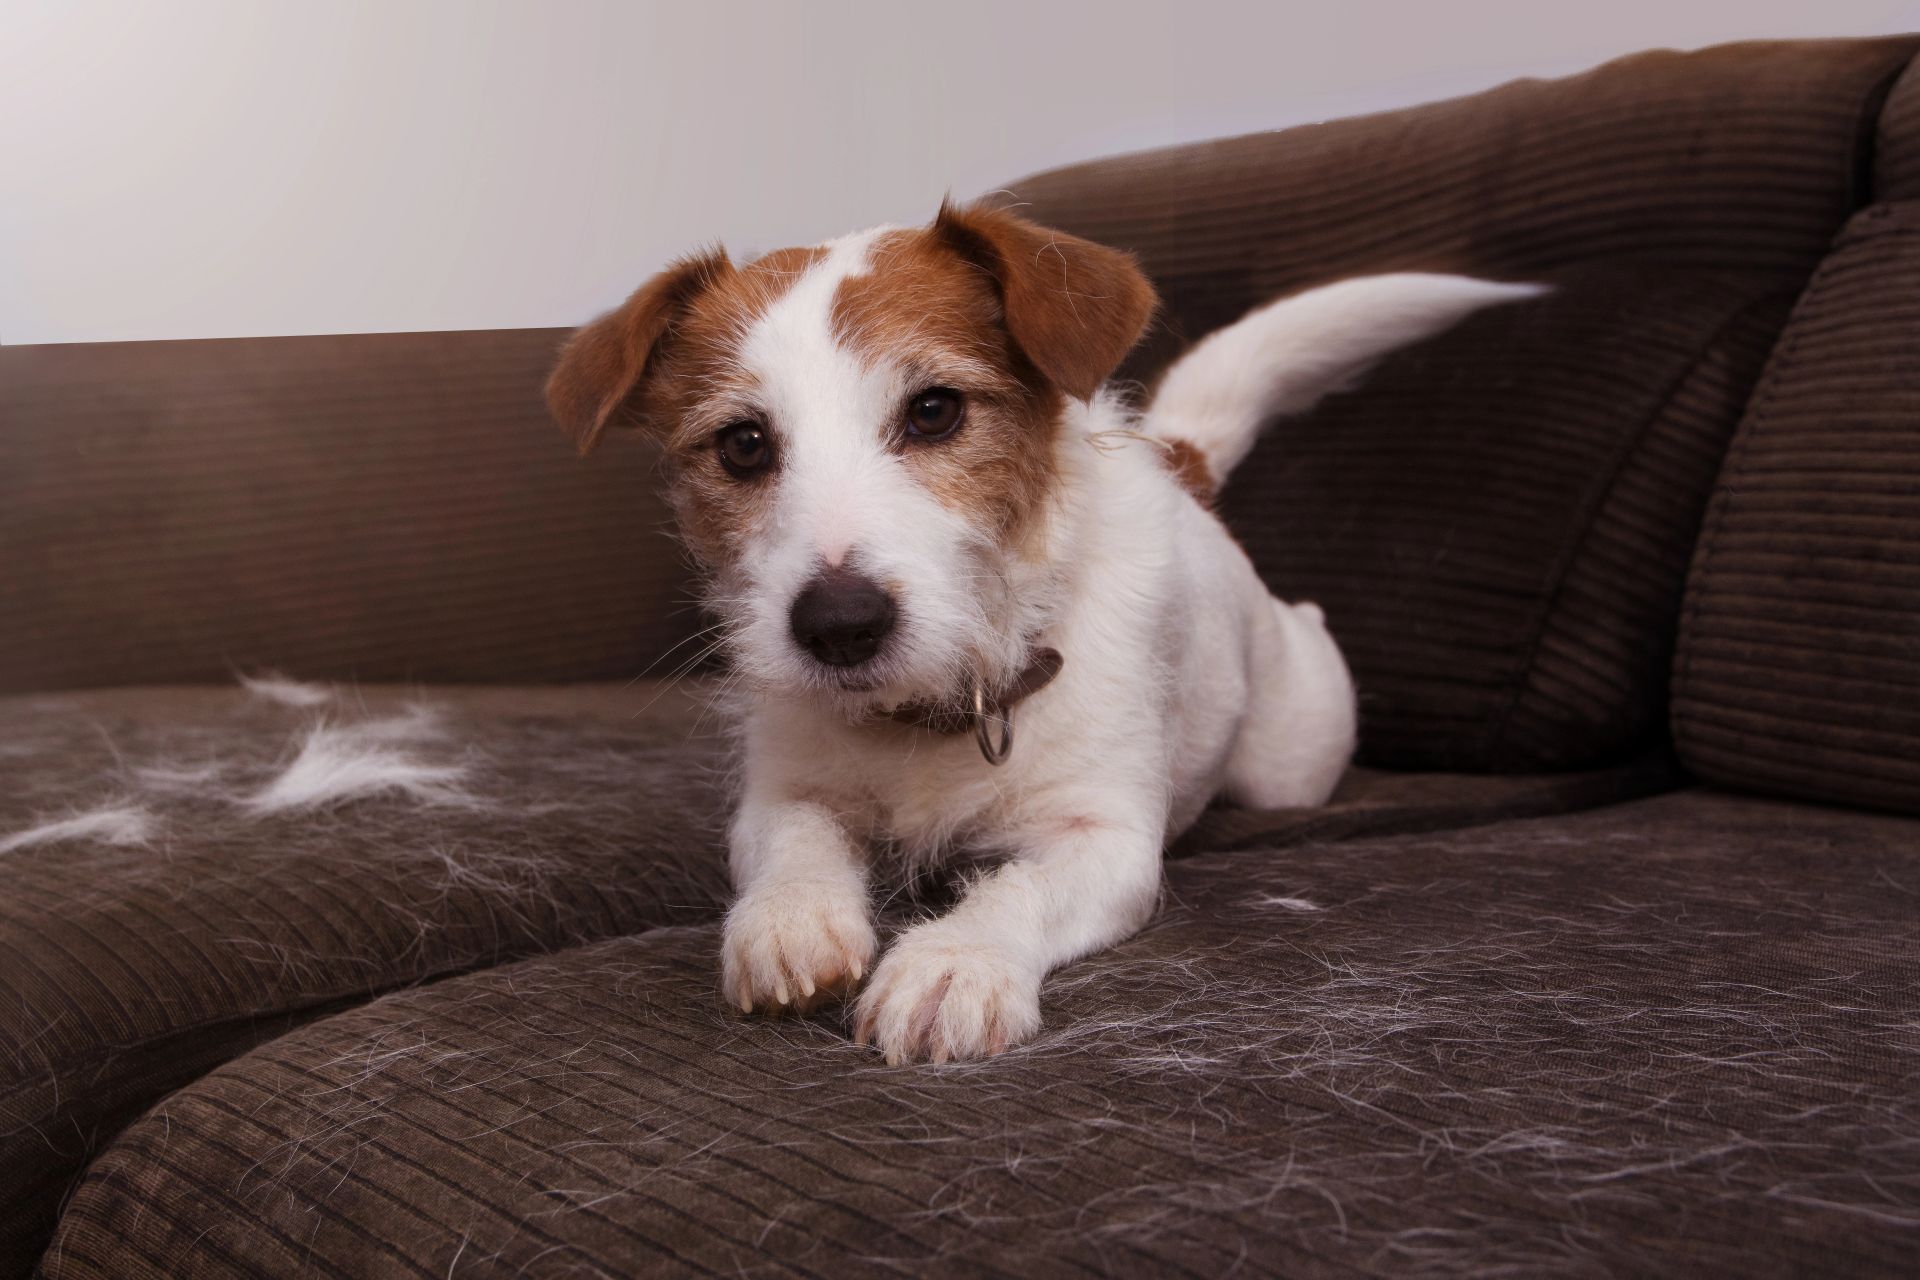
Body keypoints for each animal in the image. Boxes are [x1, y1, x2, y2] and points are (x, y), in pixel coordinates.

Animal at [549, 205, 1536, 1066]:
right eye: (744, 444)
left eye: (935, 410)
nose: (839, 626)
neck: (938, 707)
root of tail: (1178, 466)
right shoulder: (784, 792)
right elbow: (795, 842)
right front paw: (791, 917)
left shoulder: (1108, 841)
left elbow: (1021, 886)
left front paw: (954, 962)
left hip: (1292, 757)